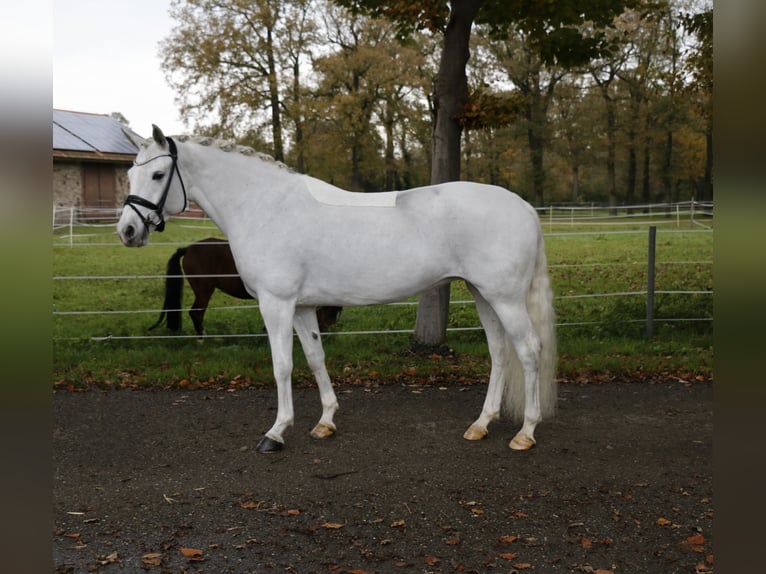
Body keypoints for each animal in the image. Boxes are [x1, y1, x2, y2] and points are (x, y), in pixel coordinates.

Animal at [151, 238, 342, 338]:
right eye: (329, 312)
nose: (324, 334)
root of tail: (189, 248)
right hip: (204, 291)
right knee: (196, 313)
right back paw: (202, 339)